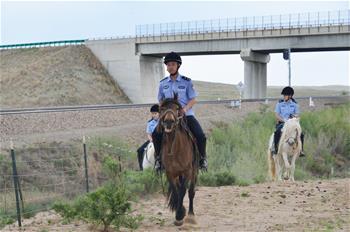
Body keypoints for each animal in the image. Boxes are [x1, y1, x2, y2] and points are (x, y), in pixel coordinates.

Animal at [157, 94, 198, 227]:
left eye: (177, 108)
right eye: (163, 108)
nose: (169, 122)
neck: (174, 147)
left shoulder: (187, 171)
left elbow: (183, 191)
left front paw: (180, 215)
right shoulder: (170, 173)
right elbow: (176, 192)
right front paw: (179, 213)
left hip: (194, 171)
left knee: (191, 192)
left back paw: (191, 215)